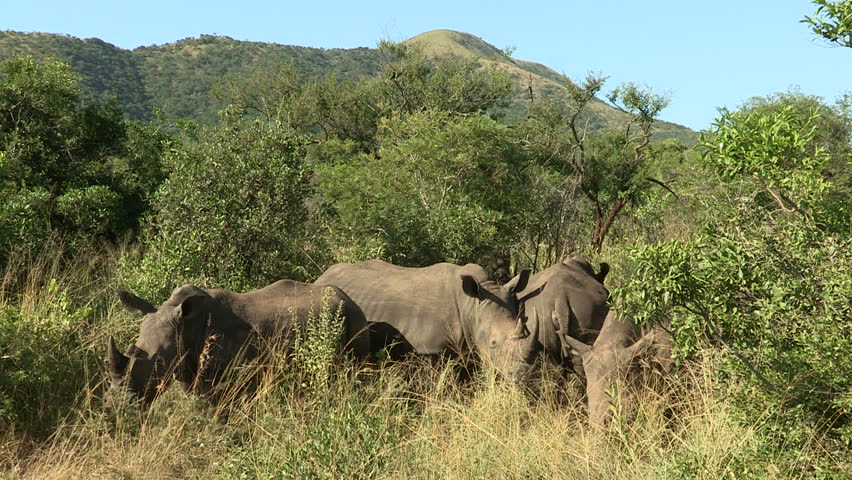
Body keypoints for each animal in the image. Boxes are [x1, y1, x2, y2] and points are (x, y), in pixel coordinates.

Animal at [315, 260, 535, 379]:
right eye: (493, 343)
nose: (521, 375)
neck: (470, 305)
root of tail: (322, 276)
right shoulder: (427, 349)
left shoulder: (469, 347)